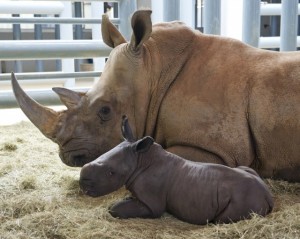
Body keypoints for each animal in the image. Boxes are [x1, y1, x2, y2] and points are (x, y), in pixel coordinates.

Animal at [79, 116, 274, 225]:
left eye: (111, 173)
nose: (82, 183)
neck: (140, 159)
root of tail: (268, 195)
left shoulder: (152, 205)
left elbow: (115, 209)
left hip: (244, 197)